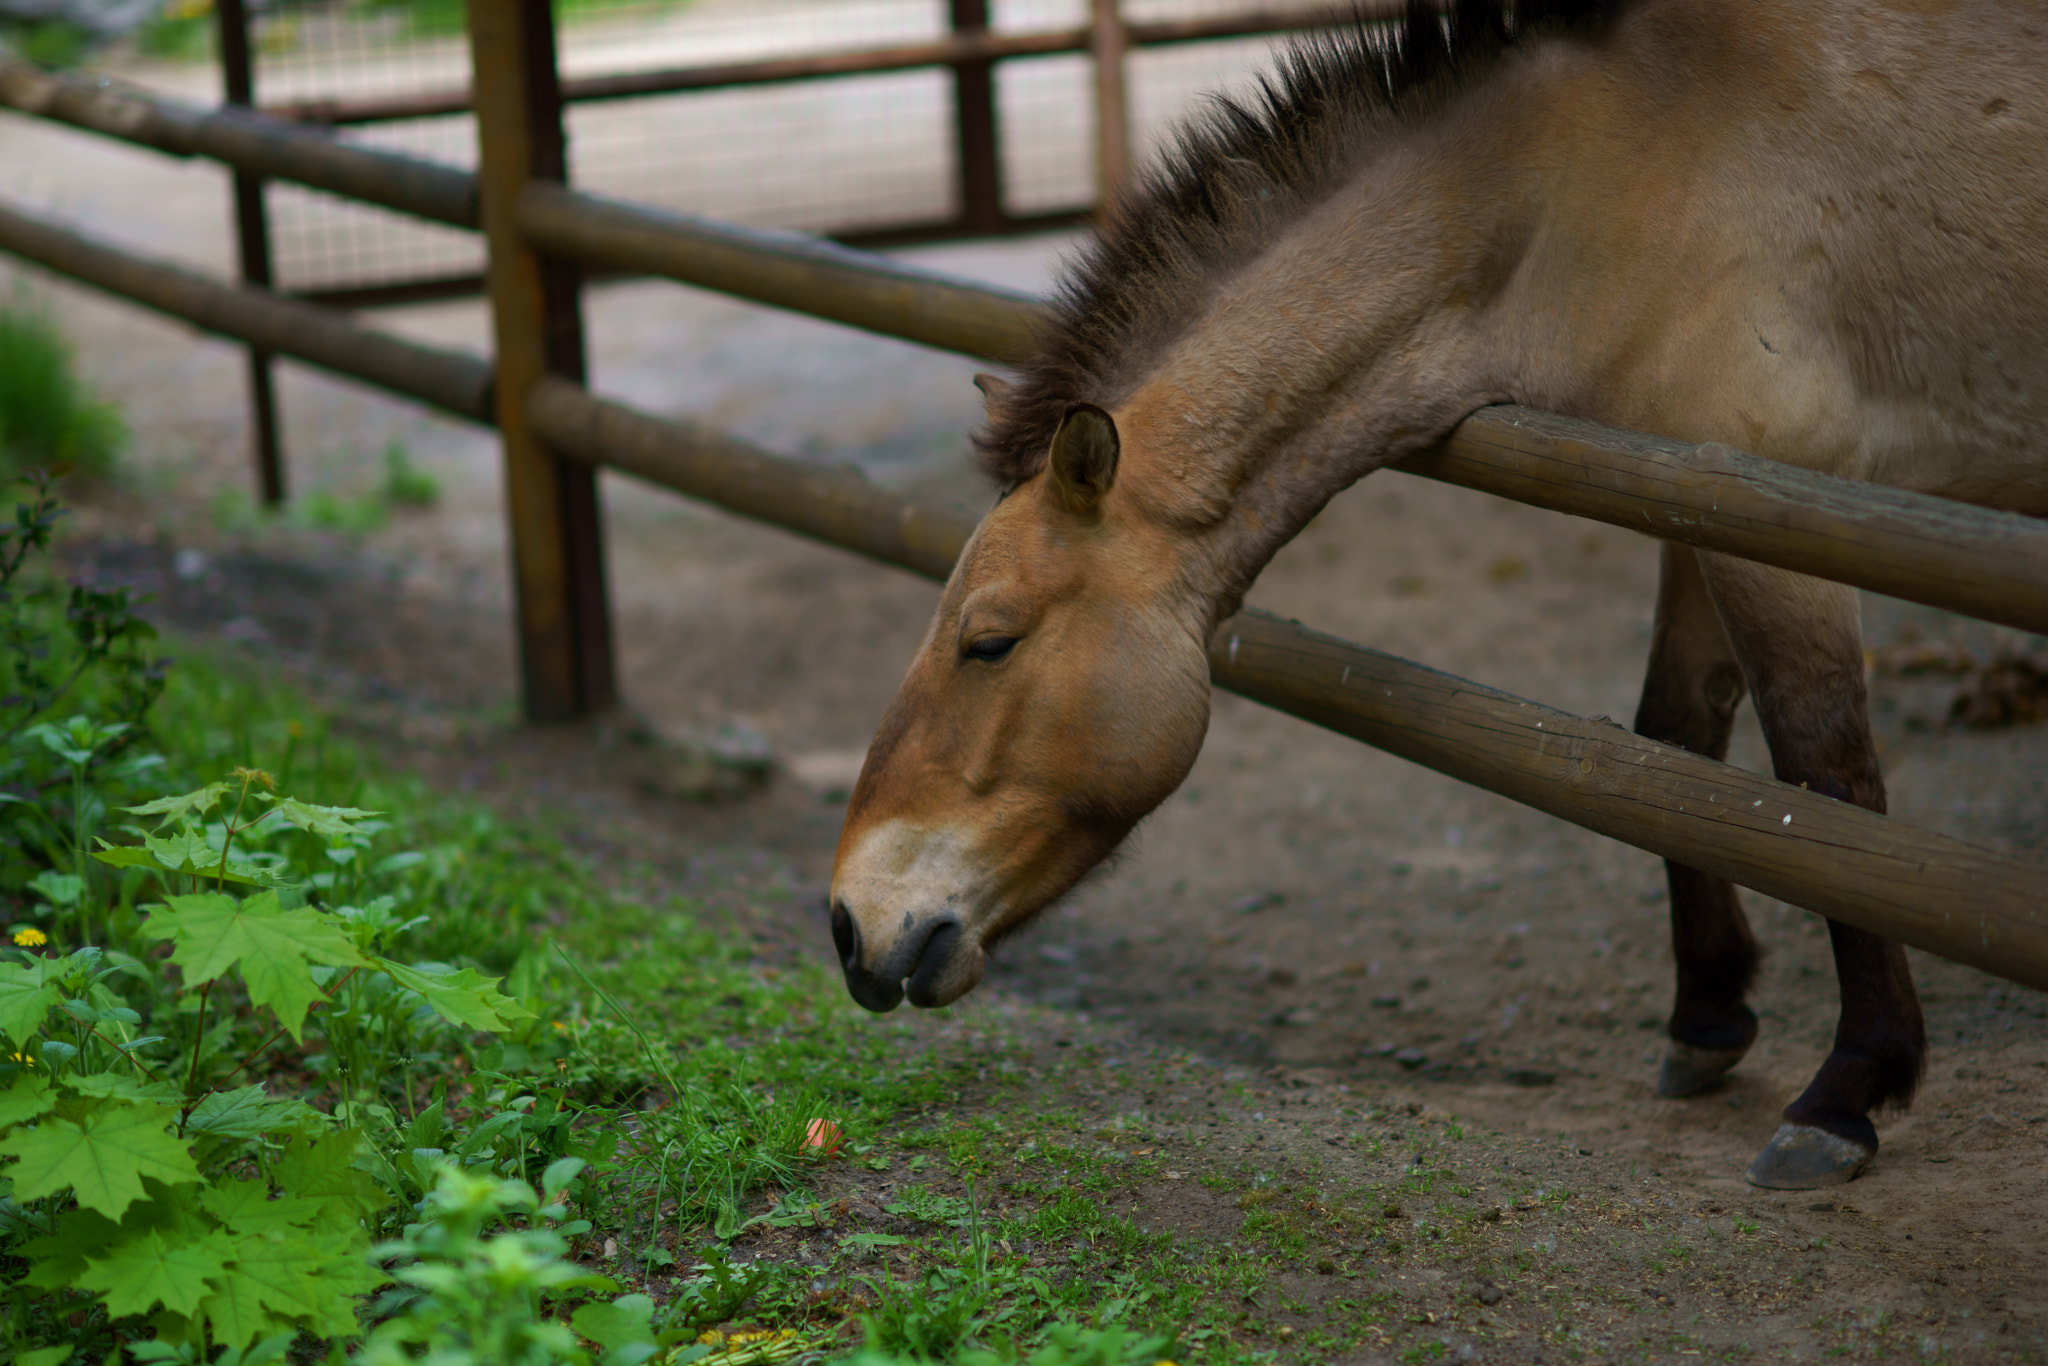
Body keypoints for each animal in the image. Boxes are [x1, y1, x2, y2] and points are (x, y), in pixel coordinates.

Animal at [819, 0, 2048, 1187]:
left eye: (989, 641)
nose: (846, 925)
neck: (1619, 166)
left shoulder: (1783, 504)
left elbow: (1822, 781)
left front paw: (1849, 1087)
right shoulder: (1703, 501)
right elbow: (1681, 749)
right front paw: (1706, 1014)